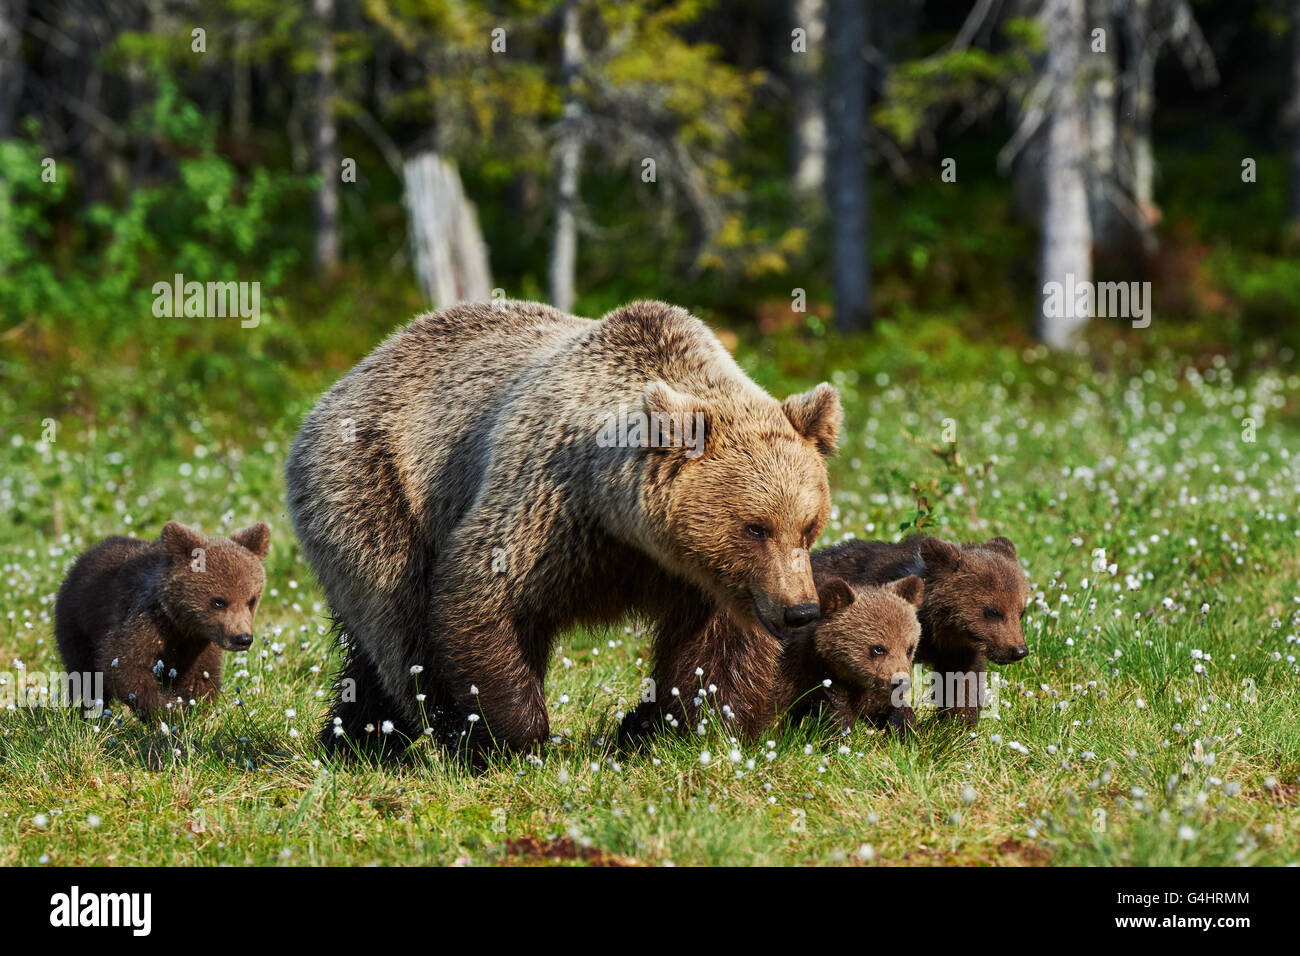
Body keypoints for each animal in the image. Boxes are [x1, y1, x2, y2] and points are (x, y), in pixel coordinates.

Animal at [54, 521, 270, 720]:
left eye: (251, 600)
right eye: (219, 601)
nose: (242, 638)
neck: (181, 625)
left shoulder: (199, 643)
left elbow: (201, 677)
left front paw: (191, 713)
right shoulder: (143, 620)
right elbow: (124, 664)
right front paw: (166, 711)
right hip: (77, 624)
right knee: (85, 675)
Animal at [284, 299, 842, 756]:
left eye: (808, 525)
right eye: (755, 527)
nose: (800, 610)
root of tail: (354, 373)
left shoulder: (711, 580)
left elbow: (717, 651)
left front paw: (693, 727)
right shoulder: (549, 507)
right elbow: (482, 594)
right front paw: (514, 738)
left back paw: (353, 736)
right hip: (374, 487)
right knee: (400, 623)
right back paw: (424, 729)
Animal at [620, 575, 923, 740]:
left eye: (909, 647)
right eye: (877, 648)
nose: (901, 681)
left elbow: (894, 710)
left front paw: (903, 727)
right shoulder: (814, 680)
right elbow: (834, 718)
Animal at [811, 535, 1030, 725]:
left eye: (1021, 611)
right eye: (993, 611)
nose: (1018, 650)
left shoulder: (956, 649)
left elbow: (963, 683)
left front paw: (958, 725)